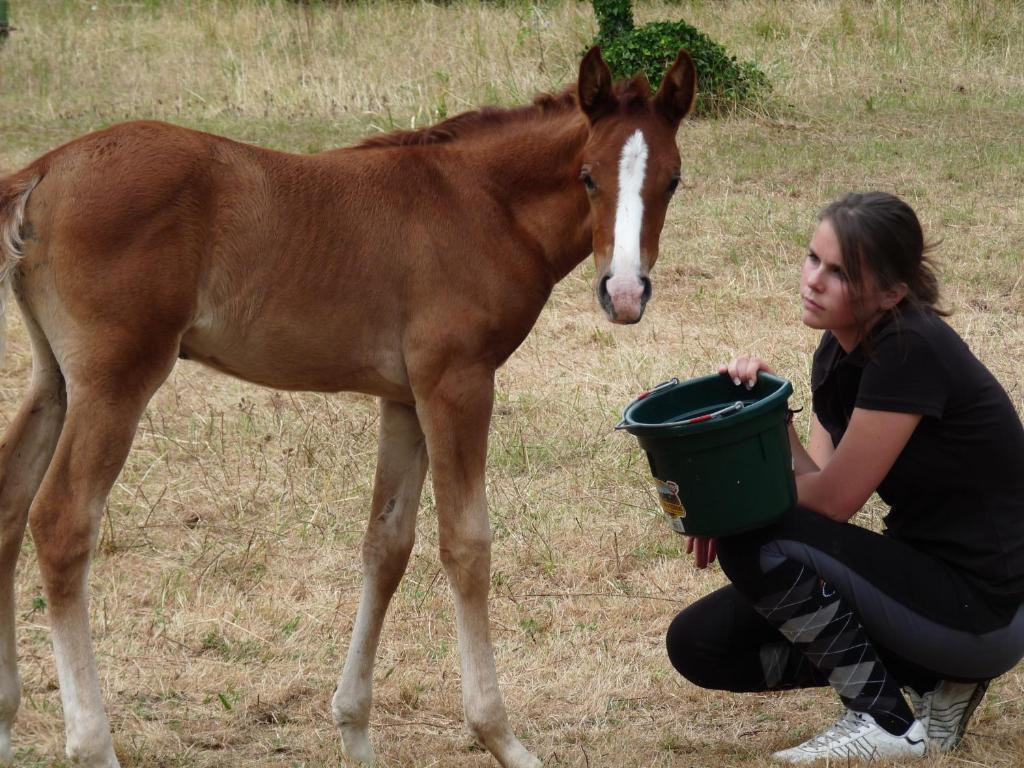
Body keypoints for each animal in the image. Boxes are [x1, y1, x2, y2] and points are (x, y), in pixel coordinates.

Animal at [0, 49, 696, 768]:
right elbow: (466, 546)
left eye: (673, 182)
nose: (624, 293)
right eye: (588, 176)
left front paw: (354, 730)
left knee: (10, 503)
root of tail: (42, 169)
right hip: (116, 379)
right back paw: (91, 743)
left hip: (55, 380)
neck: (481, 205)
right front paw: (501, 736)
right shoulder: (457, 383)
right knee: (61, 520)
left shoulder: (404, 398)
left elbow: (386, 545)